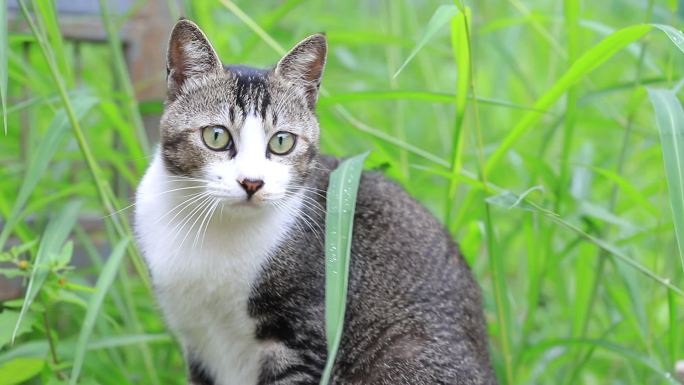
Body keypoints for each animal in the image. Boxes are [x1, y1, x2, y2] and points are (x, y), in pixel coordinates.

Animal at [134, 19, 496, 384]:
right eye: (216, 136)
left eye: (281, 142)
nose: (252, 182)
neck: (216, 234)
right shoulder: (196, 341)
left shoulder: (302, 337)